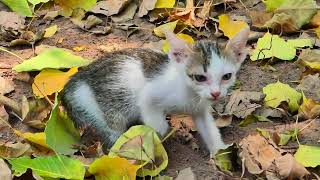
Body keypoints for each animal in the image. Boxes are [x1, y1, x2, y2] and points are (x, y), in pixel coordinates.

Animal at [60, 27, 250, 155]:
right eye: (200, 78)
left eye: (227, 76)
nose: (216, 93)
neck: (190, 93)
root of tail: (77, 79)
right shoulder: (150, 94)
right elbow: (155, 120)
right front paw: (158, 134)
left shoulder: (200, 108)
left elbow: (208, 127)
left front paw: (219, 151)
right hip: (98, 110)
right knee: (113, 134)